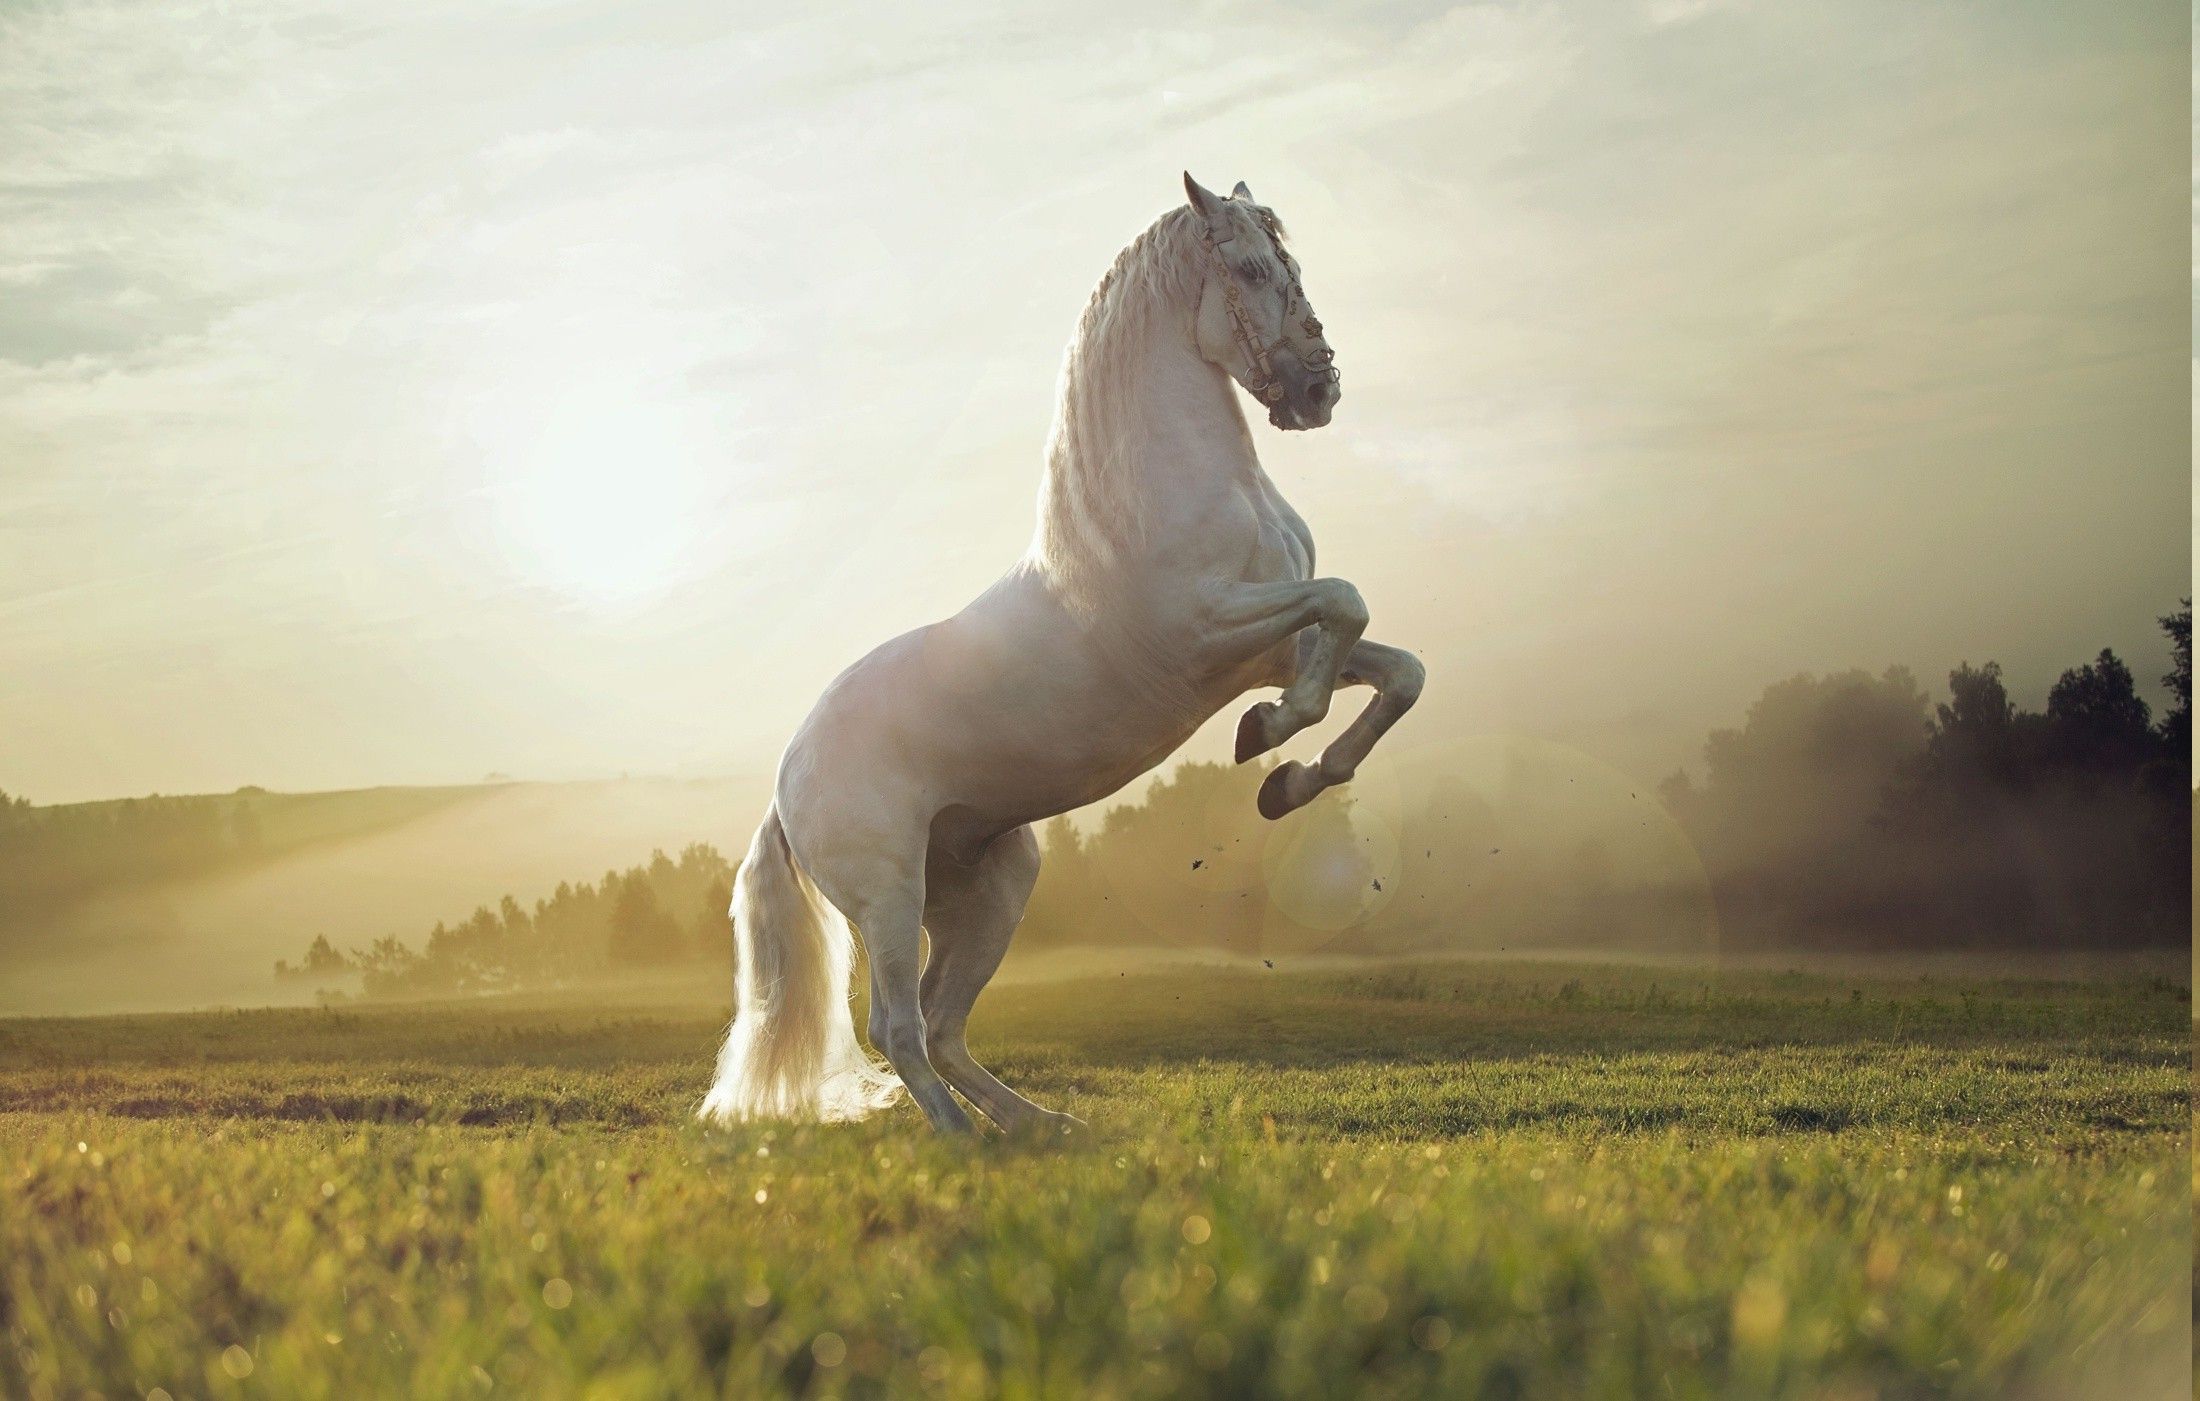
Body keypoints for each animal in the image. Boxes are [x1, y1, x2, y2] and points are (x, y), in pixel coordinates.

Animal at [700, 173, 1424, 1135]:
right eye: (1248, 268)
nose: (1318, 389)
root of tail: (788, 781)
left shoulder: (1272, 646)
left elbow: (1395, 667)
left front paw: (1292, 780)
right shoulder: (1210, 633)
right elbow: (1344, 604)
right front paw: (1268, 740)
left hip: (994, 885)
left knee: (944, 1023)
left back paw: (1044, 1128)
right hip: (888, 897)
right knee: (899, 1026)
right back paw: (965, 1141)